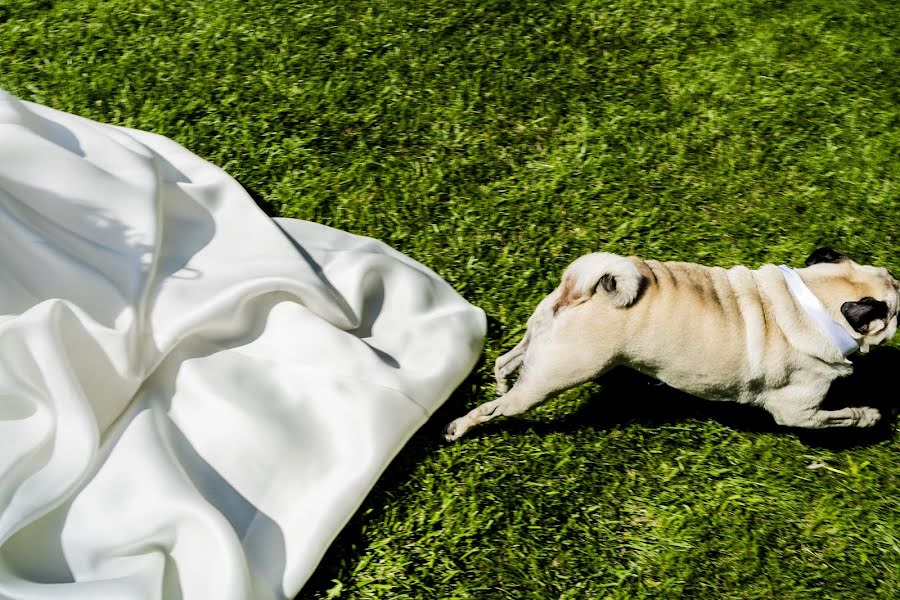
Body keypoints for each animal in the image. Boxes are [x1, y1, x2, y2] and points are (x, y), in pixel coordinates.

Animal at [444, 248, 900, 440]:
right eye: (894, 309)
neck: (809, 301)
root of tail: (588, 289)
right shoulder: (799, 415)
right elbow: (840, 417)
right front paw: (868, 417)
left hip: (541, 341)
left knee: (507, 362)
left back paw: (501, 382)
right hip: (553, 379)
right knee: (495, 410)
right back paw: (459, 428)